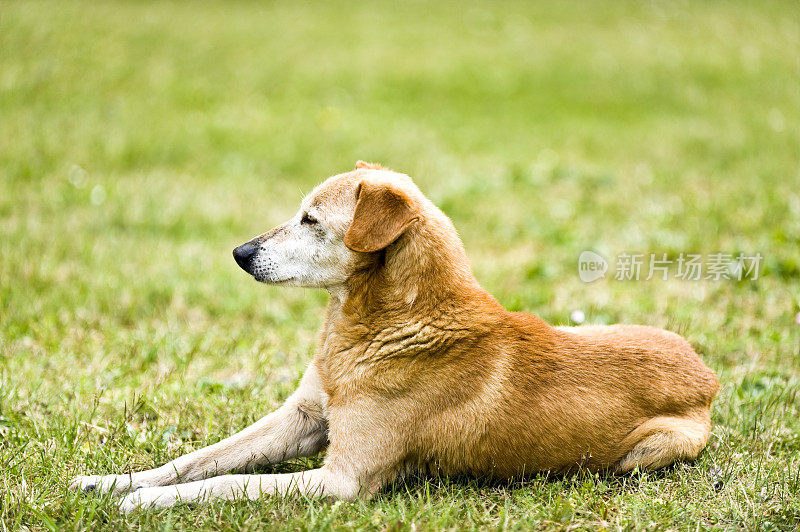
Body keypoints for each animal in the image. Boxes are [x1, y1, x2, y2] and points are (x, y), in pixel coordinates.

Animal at [70, 162, 720, 512]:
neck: (376, 329)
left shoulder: (340, 481)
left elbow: (227, 483)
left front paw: (144, 503)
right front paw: (112, 481)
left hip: (655, 448)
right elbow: (198, 461)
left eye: (311, 220)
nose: (239, 253)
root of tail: (707, 372)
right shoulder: (300, 418)